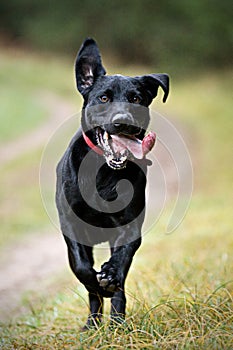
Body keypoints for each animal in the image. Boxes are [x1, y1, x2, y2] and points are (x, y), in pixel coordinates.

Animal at [56, 39, 169, 328]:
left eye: (136, 99)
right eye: (104, 98)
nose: (123, 122)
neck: (104, 173)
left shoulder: (130, 225)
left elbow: (123, 257)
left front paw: (109, 276)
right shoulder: (71, 227)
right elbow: (83, 270)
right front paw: (97, 284)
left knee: (121, 285)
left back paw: (118, 322)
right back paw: (93, 324)